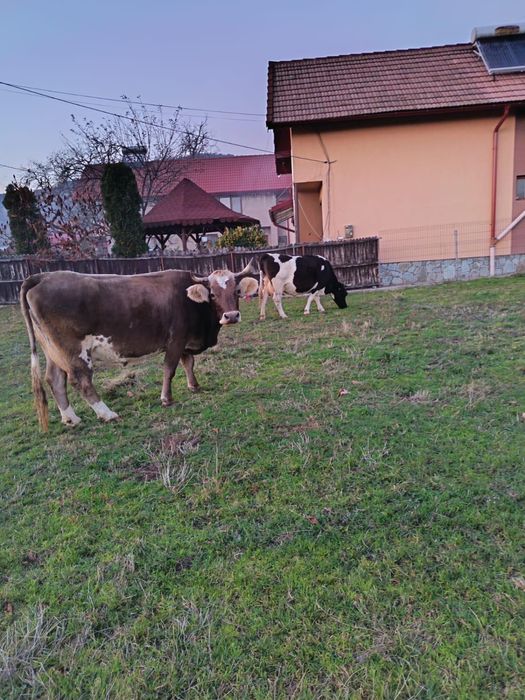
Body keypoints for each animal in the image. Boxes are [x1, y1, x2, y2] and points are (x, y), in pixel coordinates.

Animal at [20, 263, 258, 430]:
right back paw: (107, 414)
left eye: (235, 292)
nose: (231, 316)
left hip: (53, 351)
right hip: (74, 351)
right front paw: (166, 398)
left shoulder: (185, 343)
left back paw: (71, 418)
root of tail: (43, 276)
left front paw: (194, 386)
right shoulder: (175, 340)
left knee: (55, 380)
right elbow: (170, 369)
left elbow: (188, 364)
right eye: (213, 294)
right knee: (82, 382)